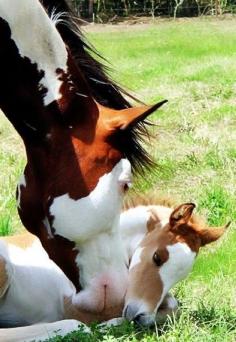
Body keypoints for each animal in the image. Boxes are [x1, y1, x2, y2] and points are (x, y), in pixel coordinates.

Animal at [0, 200, 228, 342]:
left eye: (181, 275)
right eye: (157, 257)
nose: (140, 315)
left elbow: (174, 306)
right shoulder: (80, 306)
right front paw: (109, 326)